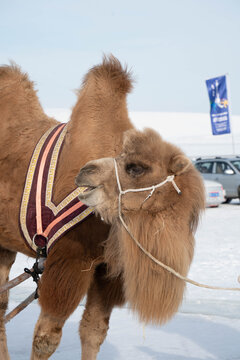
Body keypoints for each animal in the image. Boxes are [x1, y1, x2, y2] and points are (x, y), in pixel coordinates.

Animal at [0, 54, 204, 358]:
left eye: (135, 167)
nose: (85, 173)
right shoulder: (70, 259)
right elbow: (46, 338)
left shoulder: (108, 270)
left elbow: (94, 331)